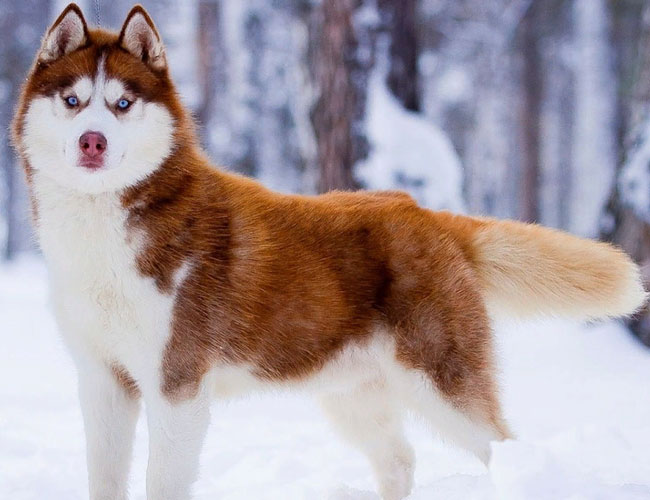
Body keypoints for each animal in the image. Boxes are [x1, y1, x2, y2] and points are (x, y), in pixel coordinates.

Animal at [10, 3, 644, 500]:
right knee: (400, 460)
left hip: (442, 384)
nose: (93, 141)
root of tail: (424, 212)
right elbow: (103, 478)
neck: (103, 231)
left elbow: (162, 480)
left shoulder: (177, 385)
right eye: (73, 100)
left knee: (505, 449)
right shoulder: (102, 380)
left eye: (122, 104)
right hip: (353, 395)